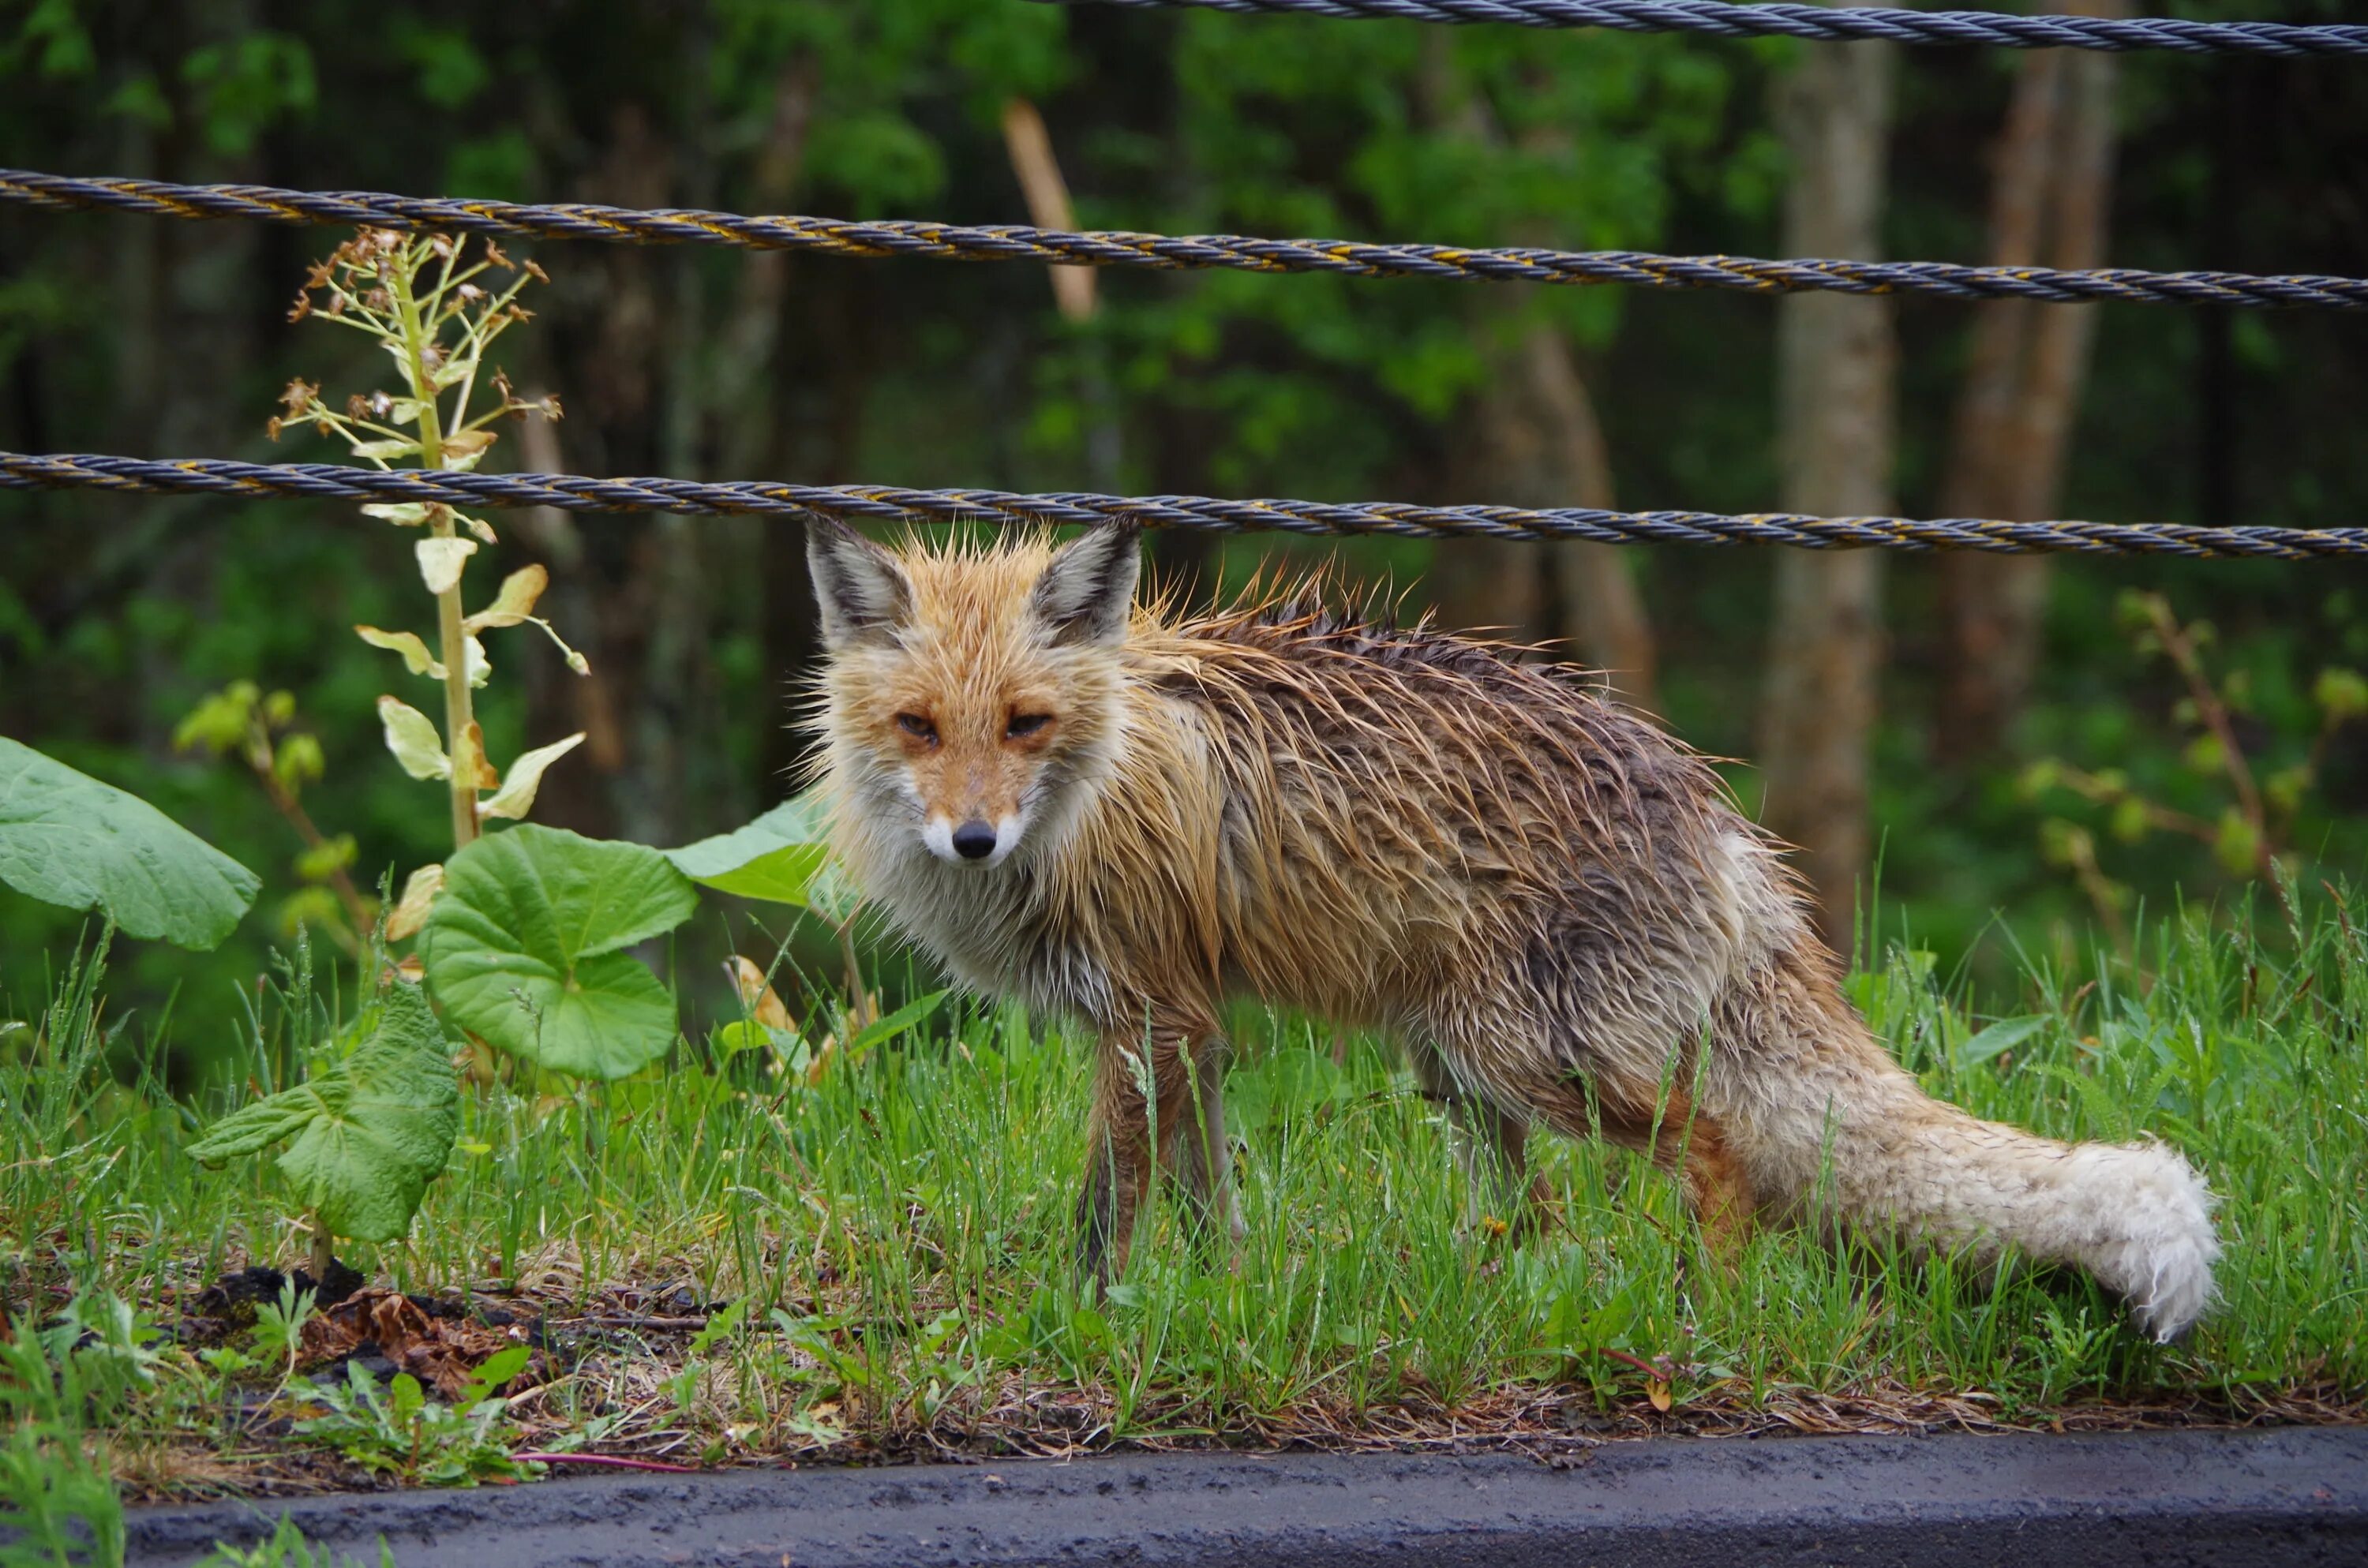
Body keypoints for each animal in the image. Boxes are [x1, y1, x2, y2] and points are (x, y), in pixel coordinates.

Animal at [810, 518, 2216, 1335]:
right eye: (920, 727)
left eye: (1026, 724)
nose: (972, 838)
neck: (1086, 804)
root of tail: (1711, 805)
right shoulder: (1190, 1028)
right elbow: (1208, 1211)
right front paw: (1217, 1309)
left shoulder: (1151, 1016)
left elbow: (1105, 1212)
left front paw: (1084, 1325)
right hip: (1457, 1067)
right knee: (1532, 1220)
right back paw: (1501, 1308)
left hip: (1524, 1054)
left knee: (1715, 1155)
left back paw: (1703, 1318)